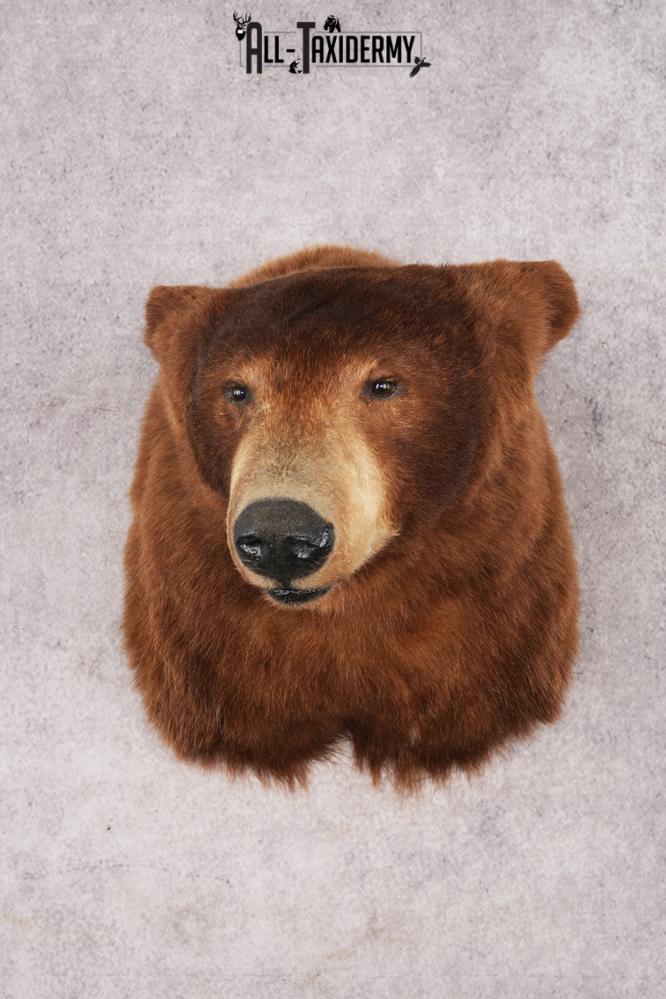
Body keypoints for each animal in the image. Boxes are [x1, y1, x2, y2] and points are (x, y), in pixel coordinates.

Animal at [123, 244, 580, 791]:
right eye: (236, 390)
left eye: (383, 384)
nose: (280, 536)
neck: (346, 608)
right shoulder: (196, 619)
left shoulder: (501, 600)